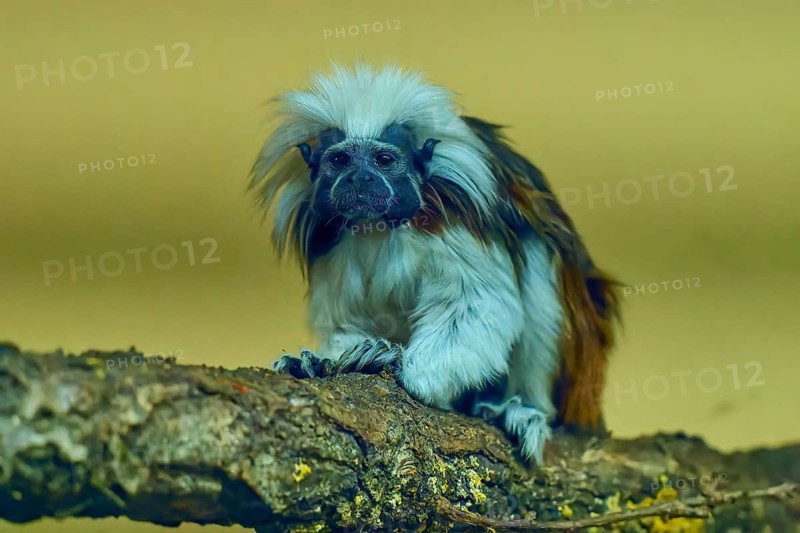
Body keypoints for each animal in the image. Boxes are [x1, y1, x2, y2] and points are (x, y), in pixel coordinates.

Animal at [249, 63, 621, 464]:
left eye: (383, 160)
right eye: (340, 160)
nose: (360, 179)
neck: (380, 227)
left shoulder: (456, 218)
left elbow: (476, 304)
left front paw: (397, 365)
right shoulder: (332, 241)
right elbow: (347, 319)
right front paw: (320, 362)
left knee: (539, 258)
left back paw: (519, 408)